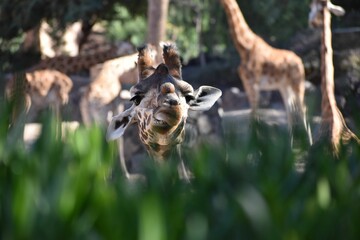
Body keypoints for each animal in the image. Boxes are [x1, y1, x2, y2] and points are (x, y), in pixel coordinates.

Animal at [219, 0, 312, 144]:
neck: (244, 47)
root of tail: (300, 61)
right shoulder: (247, 84)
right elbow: (253, 114)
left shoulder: (254, 85)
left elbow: (254, 115)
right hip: (284, 87)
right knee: (290, 111)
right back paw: (290, 146)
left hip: (297, 83)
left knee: (303, 109)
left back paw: (312, 144)